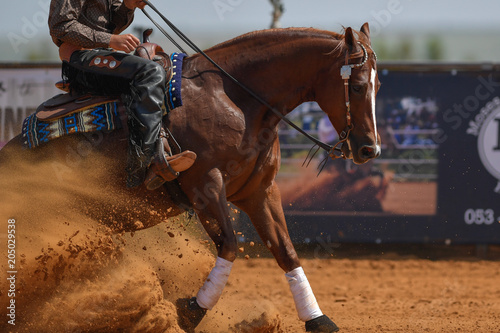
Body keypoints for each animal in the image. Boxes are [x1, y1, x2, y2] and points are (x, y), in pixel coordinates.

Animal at [0, 22, 378, 330]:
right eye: (358, 86)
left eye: (376, 85)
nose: (369, 149)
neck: (233, 98)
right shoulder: (205, 186)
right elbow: (230, 246)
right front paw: (191, 311)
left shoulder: (259, 191)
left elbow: (286, 252)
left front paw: (317, 319)